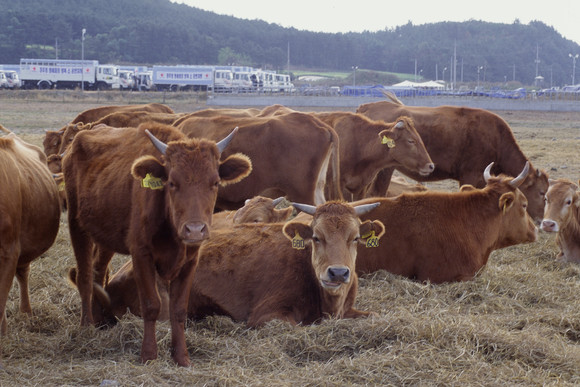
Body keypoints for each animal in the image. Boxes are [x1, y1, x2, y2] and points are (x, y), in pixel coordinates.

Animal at [62, 123, 253, 366]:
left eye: (215, 182)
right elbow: (152, 305)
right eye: (172, 182)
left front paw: (181, 356)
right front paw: (149, 354)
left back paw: (100, 321)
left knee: (98, 272)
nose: (194, 229)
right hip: (76, 225)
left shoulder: (190, 261)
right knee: (85, 276)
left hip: (106, 236)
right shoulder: (141, 255)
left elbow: (178, 309)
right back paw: (86, 325)